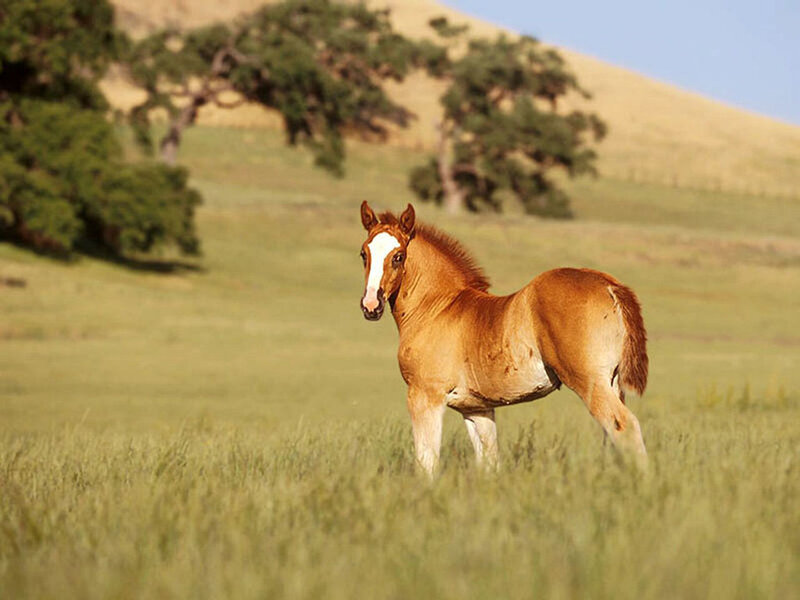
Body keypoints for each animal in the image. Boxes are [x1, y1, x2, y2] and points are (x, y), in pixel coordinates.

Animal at [358, 201, 649, 476]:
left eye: (398, 256)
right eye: (364, 254)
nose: (371, 305)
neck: (438, 308)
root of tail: (610, 285)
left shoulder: (425, 396)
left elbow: (426, 463)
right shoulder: (476, 409)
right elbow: (489, 463)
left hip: (590, 383)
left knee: (624, 427)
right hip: (612, 383)